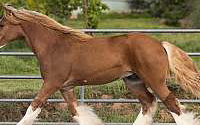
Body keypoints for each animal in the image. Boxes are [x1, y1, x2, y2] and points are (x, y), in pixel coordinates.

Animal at [0, 4, 200, 125]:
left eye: (1, 24)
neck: (54, 46)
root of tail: (160, 44)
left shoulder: (51, 83)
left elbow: (32, 108)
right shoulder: (66, 88)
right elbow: (77, 113)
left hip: (154, 81)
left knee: (172, 104)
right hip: (133, 81)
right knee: (149, 103)